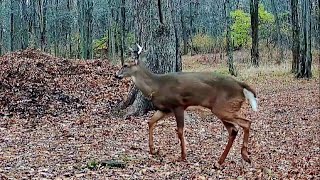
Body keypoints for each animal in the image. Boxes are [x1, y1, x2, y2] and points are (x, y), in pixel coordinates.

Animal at [115, 44, 258, 167]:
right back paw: (220, 161)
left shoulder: (178, 105)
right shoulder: (165, 109)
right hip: (223, 110)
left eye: (125, 64)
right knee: (234, 130)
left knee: (246, 122)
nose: (116, 75)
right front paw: (153, 150)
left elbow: (179, 131)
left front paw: (182, 156)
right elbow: (151, 122)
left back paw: (244, 155)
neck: (156, 86)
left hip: (224, 108)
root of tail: (241, 86)